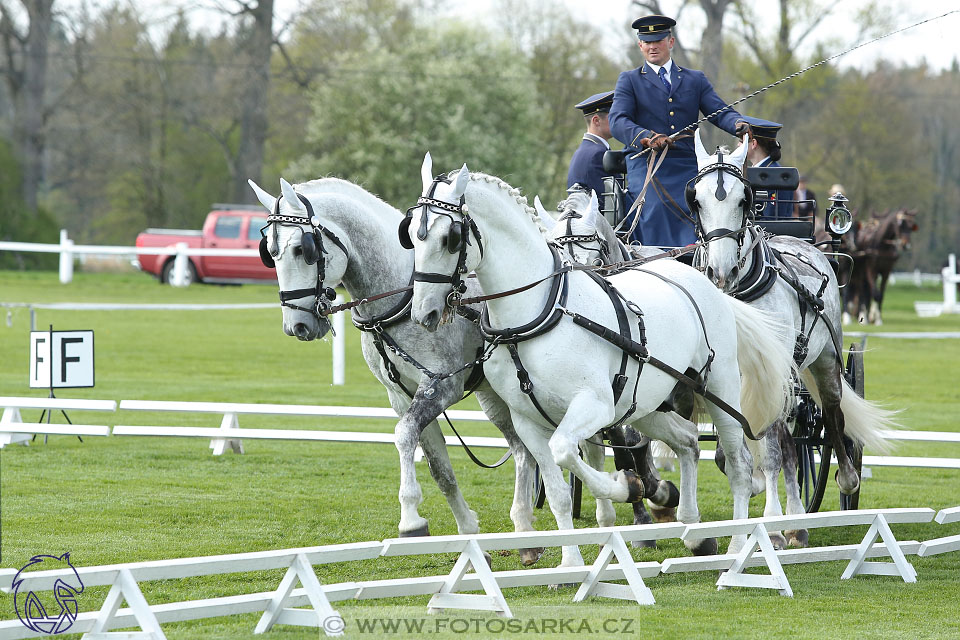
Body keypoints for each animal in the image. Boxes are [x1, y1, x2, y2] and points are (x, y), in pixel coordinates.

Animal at [248, 175, 548, 560]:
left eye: (303, 249)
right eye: (269, 252)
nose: (296, 326)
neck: (402, 294)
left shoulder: (441, 386)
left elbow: (404, 435)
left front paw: (411, 520)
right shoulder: (402, 395)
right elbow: (439, 467)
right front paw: (467, 531)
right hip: (495, 399)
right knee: (522, 450)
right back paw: (526, 530)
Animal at [404, 152, 796, 564]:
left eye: (450, 238)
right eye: (411, 232)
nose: (424, 311)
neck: (539, 312)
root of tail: (709, 282)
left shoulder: (594, 406)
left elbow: (567, 451)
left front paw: (623, 488)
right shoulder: (529, 422)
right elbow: (559, 492)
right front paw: (570, 563)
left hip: (720, 392)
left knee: (739, 466)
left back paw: (738, 545)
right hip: (647, 405)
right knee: (687, 440)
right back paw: (694, 531)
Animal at [688, 130, 896, 544]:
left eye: (743, 199)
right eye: (696, 199)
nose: (720, 271)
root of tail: (805, 244)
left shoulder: (770, 373)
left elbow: (776, 448)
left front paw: (774, 521)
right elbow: (754, 442)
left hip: (824, 362)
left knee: (831, 417)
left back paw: (836, 487)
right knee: (786, 440)